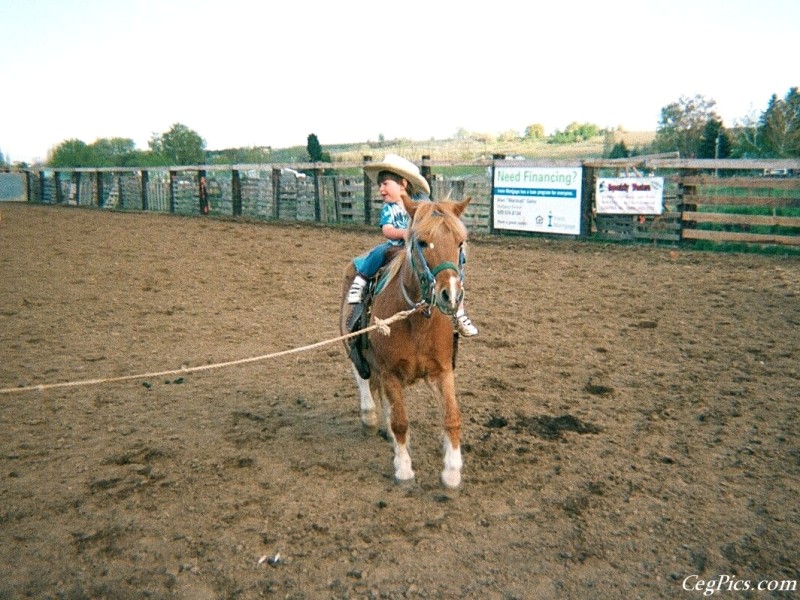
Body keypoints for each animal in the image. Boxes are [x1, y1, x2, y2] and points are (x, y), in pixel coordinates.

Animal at [340, 195, 472, 490]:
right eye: (422, 242)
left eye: (460, 242)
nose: (451, 295)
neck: (417, 320)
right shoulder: (389, 372)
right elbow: (400, 421)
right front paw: (403, 469)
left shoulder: (443, 370)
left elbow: (451, 417)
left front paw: (452, 472)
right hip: (353, 344)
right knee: (361, 376)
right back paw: (368, 416)